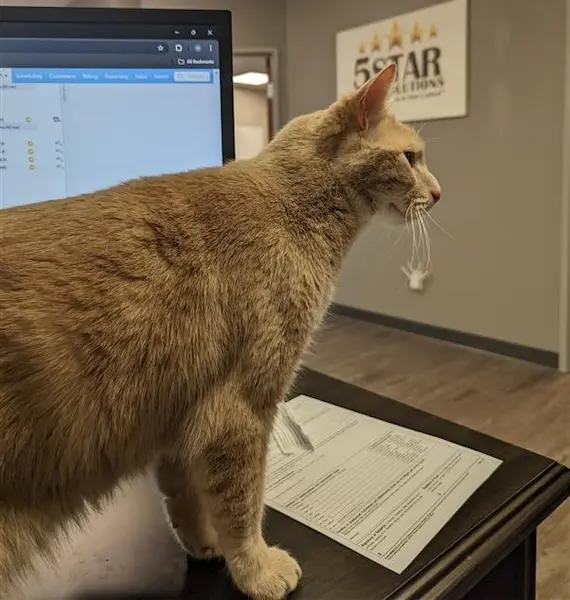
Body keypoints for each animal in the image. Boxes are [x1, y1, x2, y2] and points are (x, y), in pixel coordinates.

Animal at [0, 63, 440, 596]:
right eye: (411, 158)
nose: (438, 194)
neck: (294, 209)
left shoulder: (180, 415)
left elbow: (185, 498)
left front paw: (206, 545)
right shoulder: (240, 411)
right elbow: (243, 508)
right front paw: (257, 570)